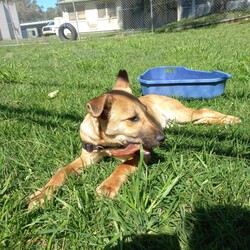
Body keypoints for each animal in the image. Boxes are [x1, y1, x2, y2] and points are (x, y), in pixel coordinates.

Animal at [28, 69, 241, 208]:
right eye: (133, 118)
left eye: (146, 113)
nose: (162, 138)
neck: (108, 143)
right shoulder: (87, 157)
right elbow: (62, 170)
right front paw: (42, 194)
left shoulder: (142, 154)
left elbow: (122, 166)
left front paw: (108, 185)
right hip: (179, 123)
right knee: (201, 118)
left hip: (182, 115)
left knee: (203, 111)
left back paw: (230, 119)